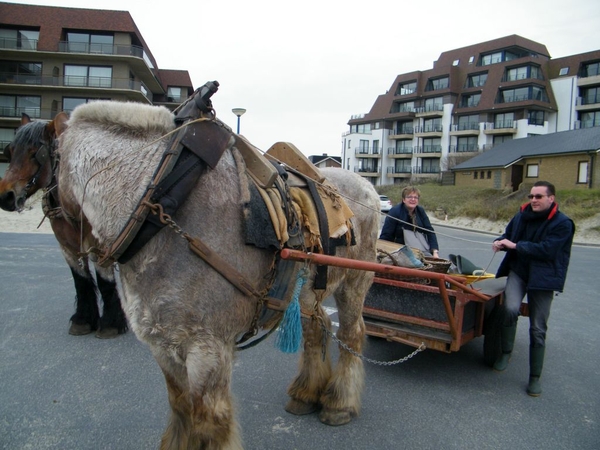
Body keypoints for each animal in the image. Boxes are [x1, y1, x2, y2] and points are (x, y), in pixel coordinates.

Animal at [0, 112, 126, 338]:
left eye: (35, 153)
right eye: (11, 150)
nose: (6, 196)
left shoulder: (100, 245)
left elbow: (104, 279)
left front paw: (111, 323)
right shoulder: (66, 245)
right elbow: (80, 279)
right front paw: (83, 319)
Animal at [52, 99, 380, 450]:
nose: (71, 243)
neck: (164, 198)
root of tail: (367, 186)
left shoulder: (208, 348)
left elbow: (209, 420)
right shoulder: (162, 344)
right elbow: (180, 404)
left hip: (355, 283)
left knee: (352, 333)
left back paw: (340, 403)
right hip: (309, 293)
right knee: (317, 330)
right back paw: (306, 394)